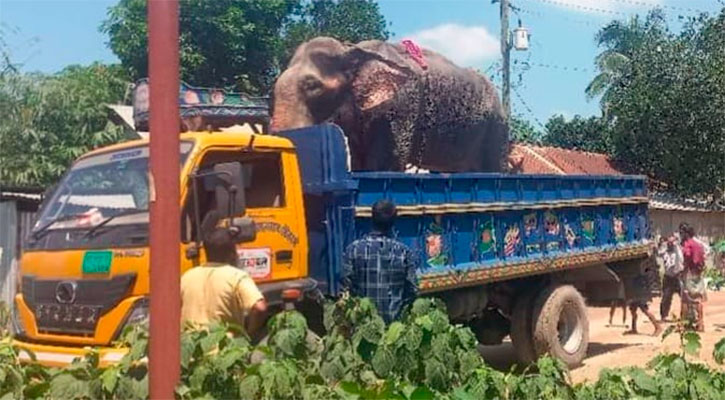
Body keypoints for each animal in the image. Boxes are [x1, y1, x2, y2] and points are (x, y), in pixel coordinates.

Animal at [272, 37, 510, 173]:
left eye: (313, 86)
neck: (353, 49)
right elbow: (359, 163)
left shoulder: (400, 110)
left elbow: (384, 164)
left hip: (495, 128)